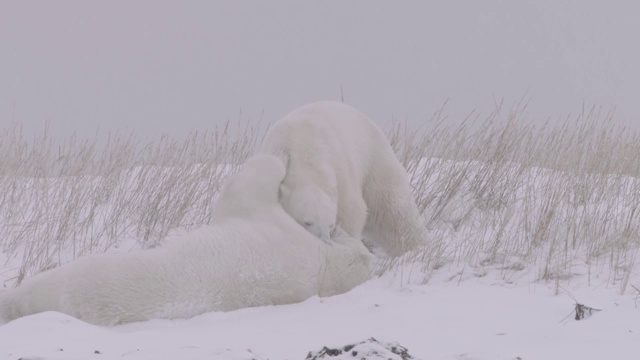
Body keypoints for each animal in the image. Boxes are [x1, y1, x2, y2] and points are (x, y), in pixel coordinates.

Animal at [0, 155, 372, 326]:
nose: (339, 229)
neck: (323, 267)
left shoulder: (272, 229)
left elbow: (246, 187)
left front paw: (280, 159)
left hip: (80, 283)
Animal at [260, 101, 424, 258]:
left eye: (330, 225)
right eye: (308, 222)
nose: (325, 241)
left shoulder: (341, 176)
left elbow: (351, 215)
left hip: (375, 160)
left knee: (392, 212)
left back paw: (417, 247)